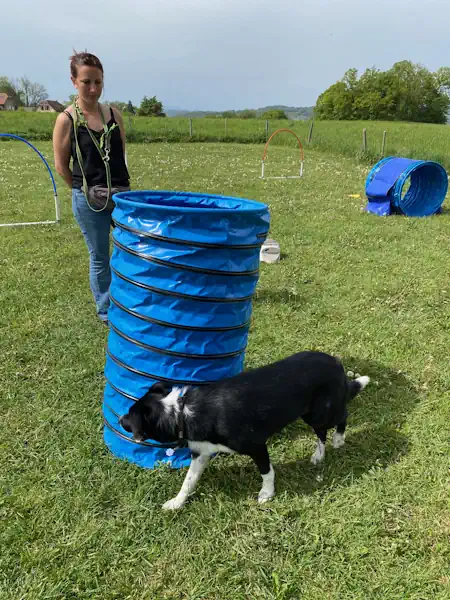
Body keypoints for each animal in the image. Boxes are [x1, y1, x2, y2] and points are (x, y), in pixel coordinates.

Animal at [118, 352, 370, 510]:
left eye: (130, 414)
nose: (119, 419)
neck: (181, 412)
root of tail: (336, 362)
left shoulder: (256, 445)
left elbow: (267, 472)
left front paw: (267, 494)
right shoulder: (201, 453)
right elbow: (188, 482)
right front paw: (176, 503)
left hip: (320, 411)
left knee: (340, 417)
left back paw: (337, 440)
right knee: (324, 430)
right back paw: (320, 454)